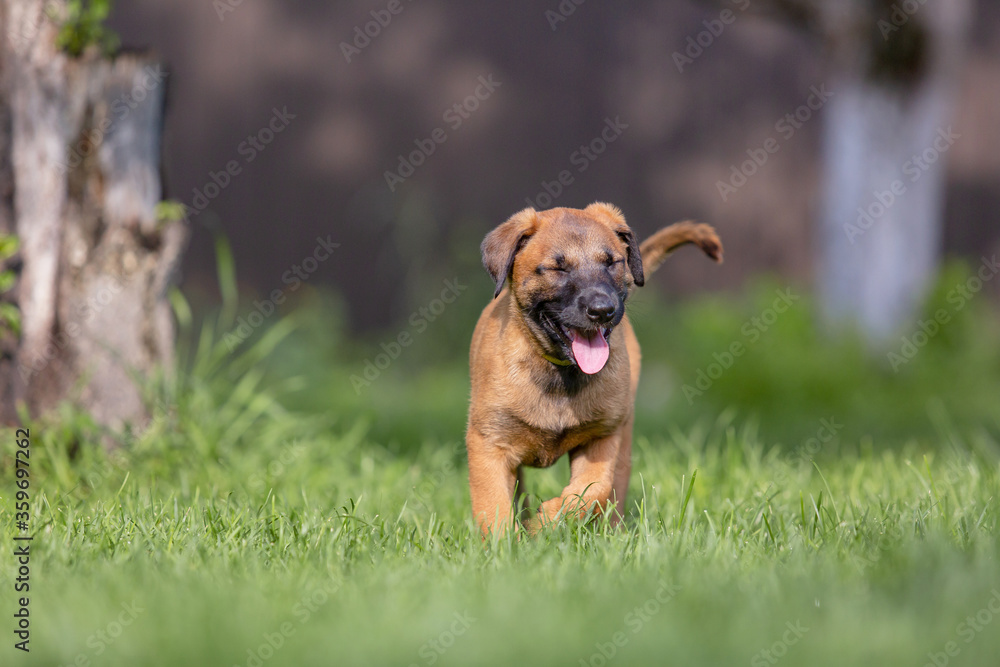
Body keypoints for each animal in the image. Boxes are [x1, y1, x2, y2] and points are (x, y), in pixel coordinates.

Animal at [464, 204, 724, 536]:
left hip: (624, 438)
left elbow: (592, 490)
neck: (559, 374)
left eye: (612, 262)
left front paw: (545, 521)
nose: (603, 311)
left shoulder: (602, 437)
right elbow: (493, 507)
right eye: (558, 269)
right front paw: (505, 544)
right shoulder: (489, 443)